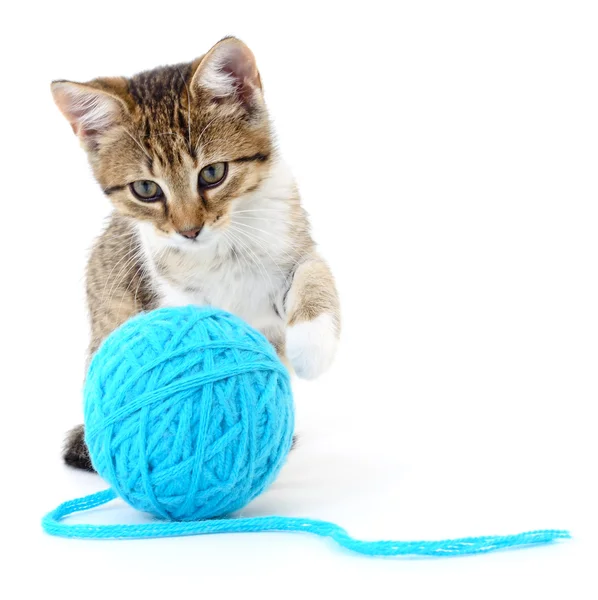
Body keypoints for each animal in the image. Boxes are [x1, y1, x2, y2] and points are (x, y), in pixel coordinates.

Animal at [50, 37, 342, 472]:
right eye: (146, 189)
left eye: (212, 173)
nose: (189, 230)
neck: (223, 246)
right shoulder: (168, 283)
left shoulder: (290, 244)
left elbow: (314, 273)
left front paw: (311, 344)